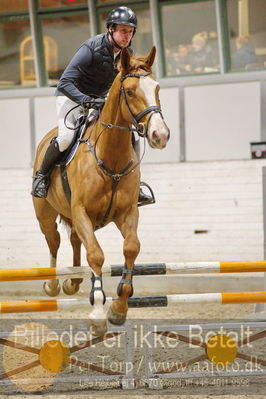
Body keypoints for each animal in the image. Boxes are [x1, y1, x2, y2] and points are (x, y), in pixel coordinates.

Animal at [32, 45, 169, 336]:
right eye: (130, 92)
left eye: (157, 88)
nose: (160, 135)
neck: (110, 156)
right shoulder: (82, 211)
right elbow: (95, 254)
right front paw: (97, 311)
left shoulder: (127, 213)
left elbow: (131, 248)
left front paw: (118, 308)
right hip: (46, 214)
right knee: (54, 241)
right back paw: (52, 284)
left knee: (74, 240)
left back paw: (72, 282)